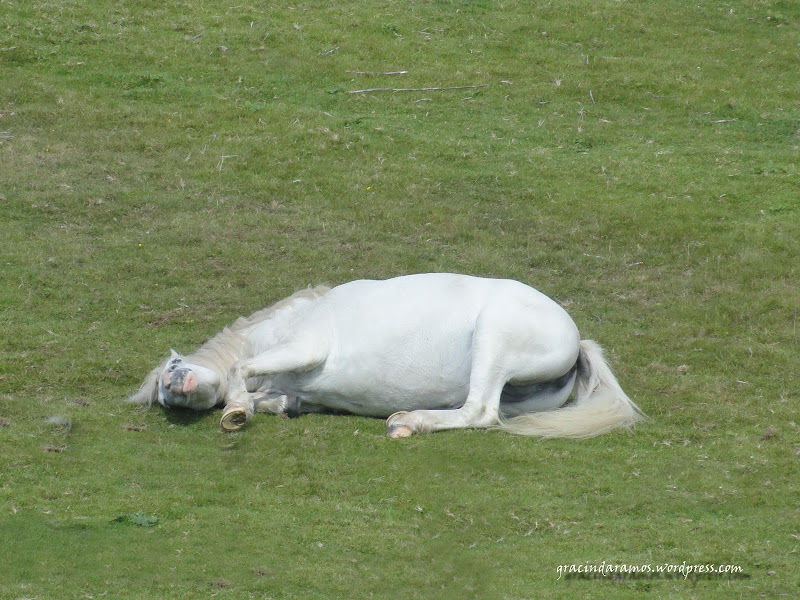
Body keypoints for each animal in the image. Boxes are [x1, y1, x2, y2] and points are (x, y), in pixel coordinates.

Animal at [130, 274, 644, 438]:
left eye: (172, 367)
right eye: (164, 396)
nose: (176, 385)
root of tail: (575, 339)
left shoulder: (304, 347)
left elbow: (240, 369)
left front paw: (236, 411)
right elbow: (277, 400)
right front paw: (250, 406)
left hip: (493, 340)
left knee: (479, 411)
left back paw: (407, 422)